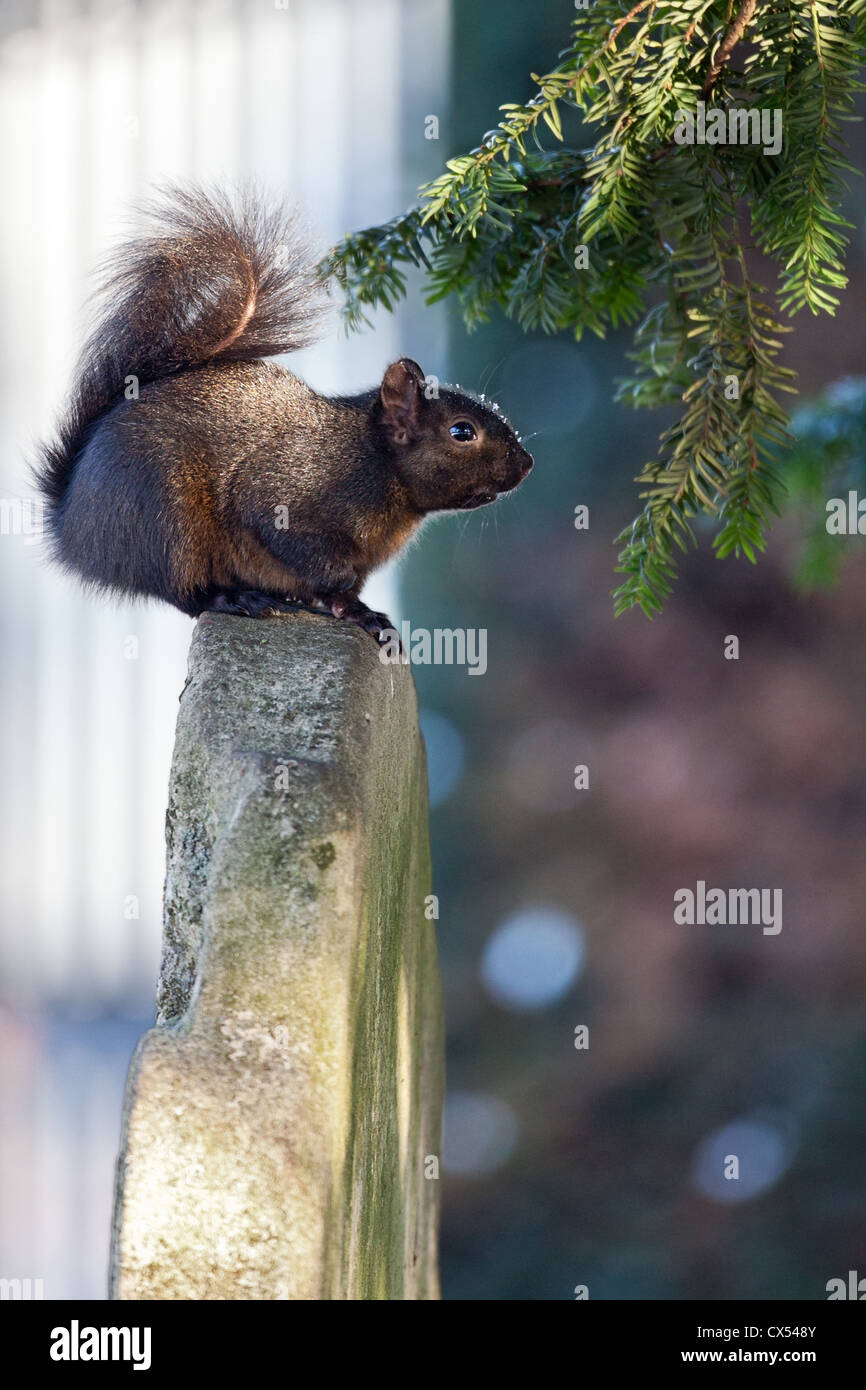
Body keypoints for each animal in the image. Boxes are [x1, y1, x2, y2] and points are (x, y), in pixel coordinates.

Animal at [33, 184, 530, 639]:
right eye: (462, 432)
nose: (526, 463)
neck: (375, 464)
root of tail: (71, 526)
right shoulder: (289, 495)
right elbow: (301, 550)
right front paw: (344, 598)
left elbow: (344, 591)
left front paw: (359, 610)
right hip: (166, 522)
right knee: (185, 593)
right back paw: (237, 598)